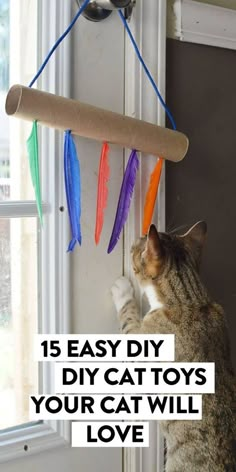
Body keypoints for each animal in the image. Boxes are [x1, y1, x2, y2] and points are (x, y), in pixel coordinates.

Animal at [111, 222, 236, 472]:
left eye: (137, 245)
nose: (133, 243)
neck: (189, 299)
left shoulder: (141, 345)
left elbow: (128, 315)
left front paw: (122, 289)